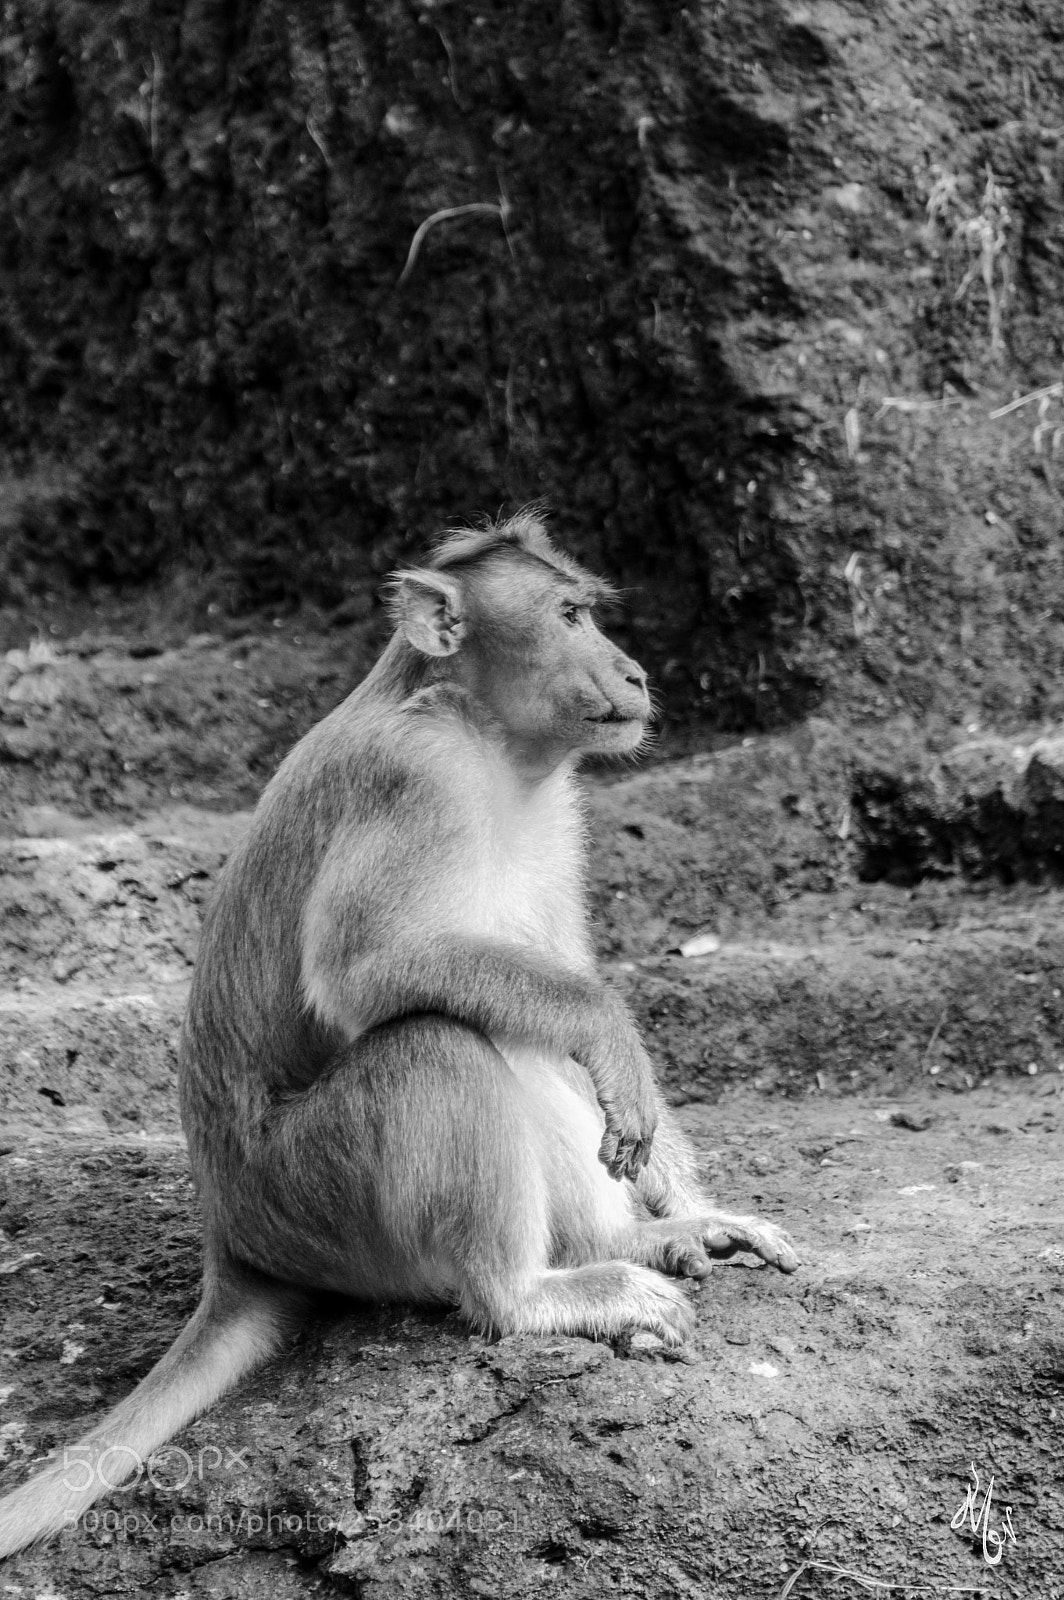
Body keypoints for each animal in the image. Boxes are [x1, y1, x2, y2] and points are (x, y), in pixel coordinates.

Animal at [0, 510, 798, 1557]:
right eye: (570, 616)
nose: (631, 672)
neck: (489, 739)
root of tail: (232, 1246)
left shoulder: (556, 810)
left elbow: (548, 976)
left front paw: (682, 1198)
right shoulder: (417, 782)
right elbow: (366, 973)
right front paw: (613, 1042)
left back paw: (631, 1238)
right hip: (316, 1197)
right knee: (437, 1038)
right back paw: (530, 1291)